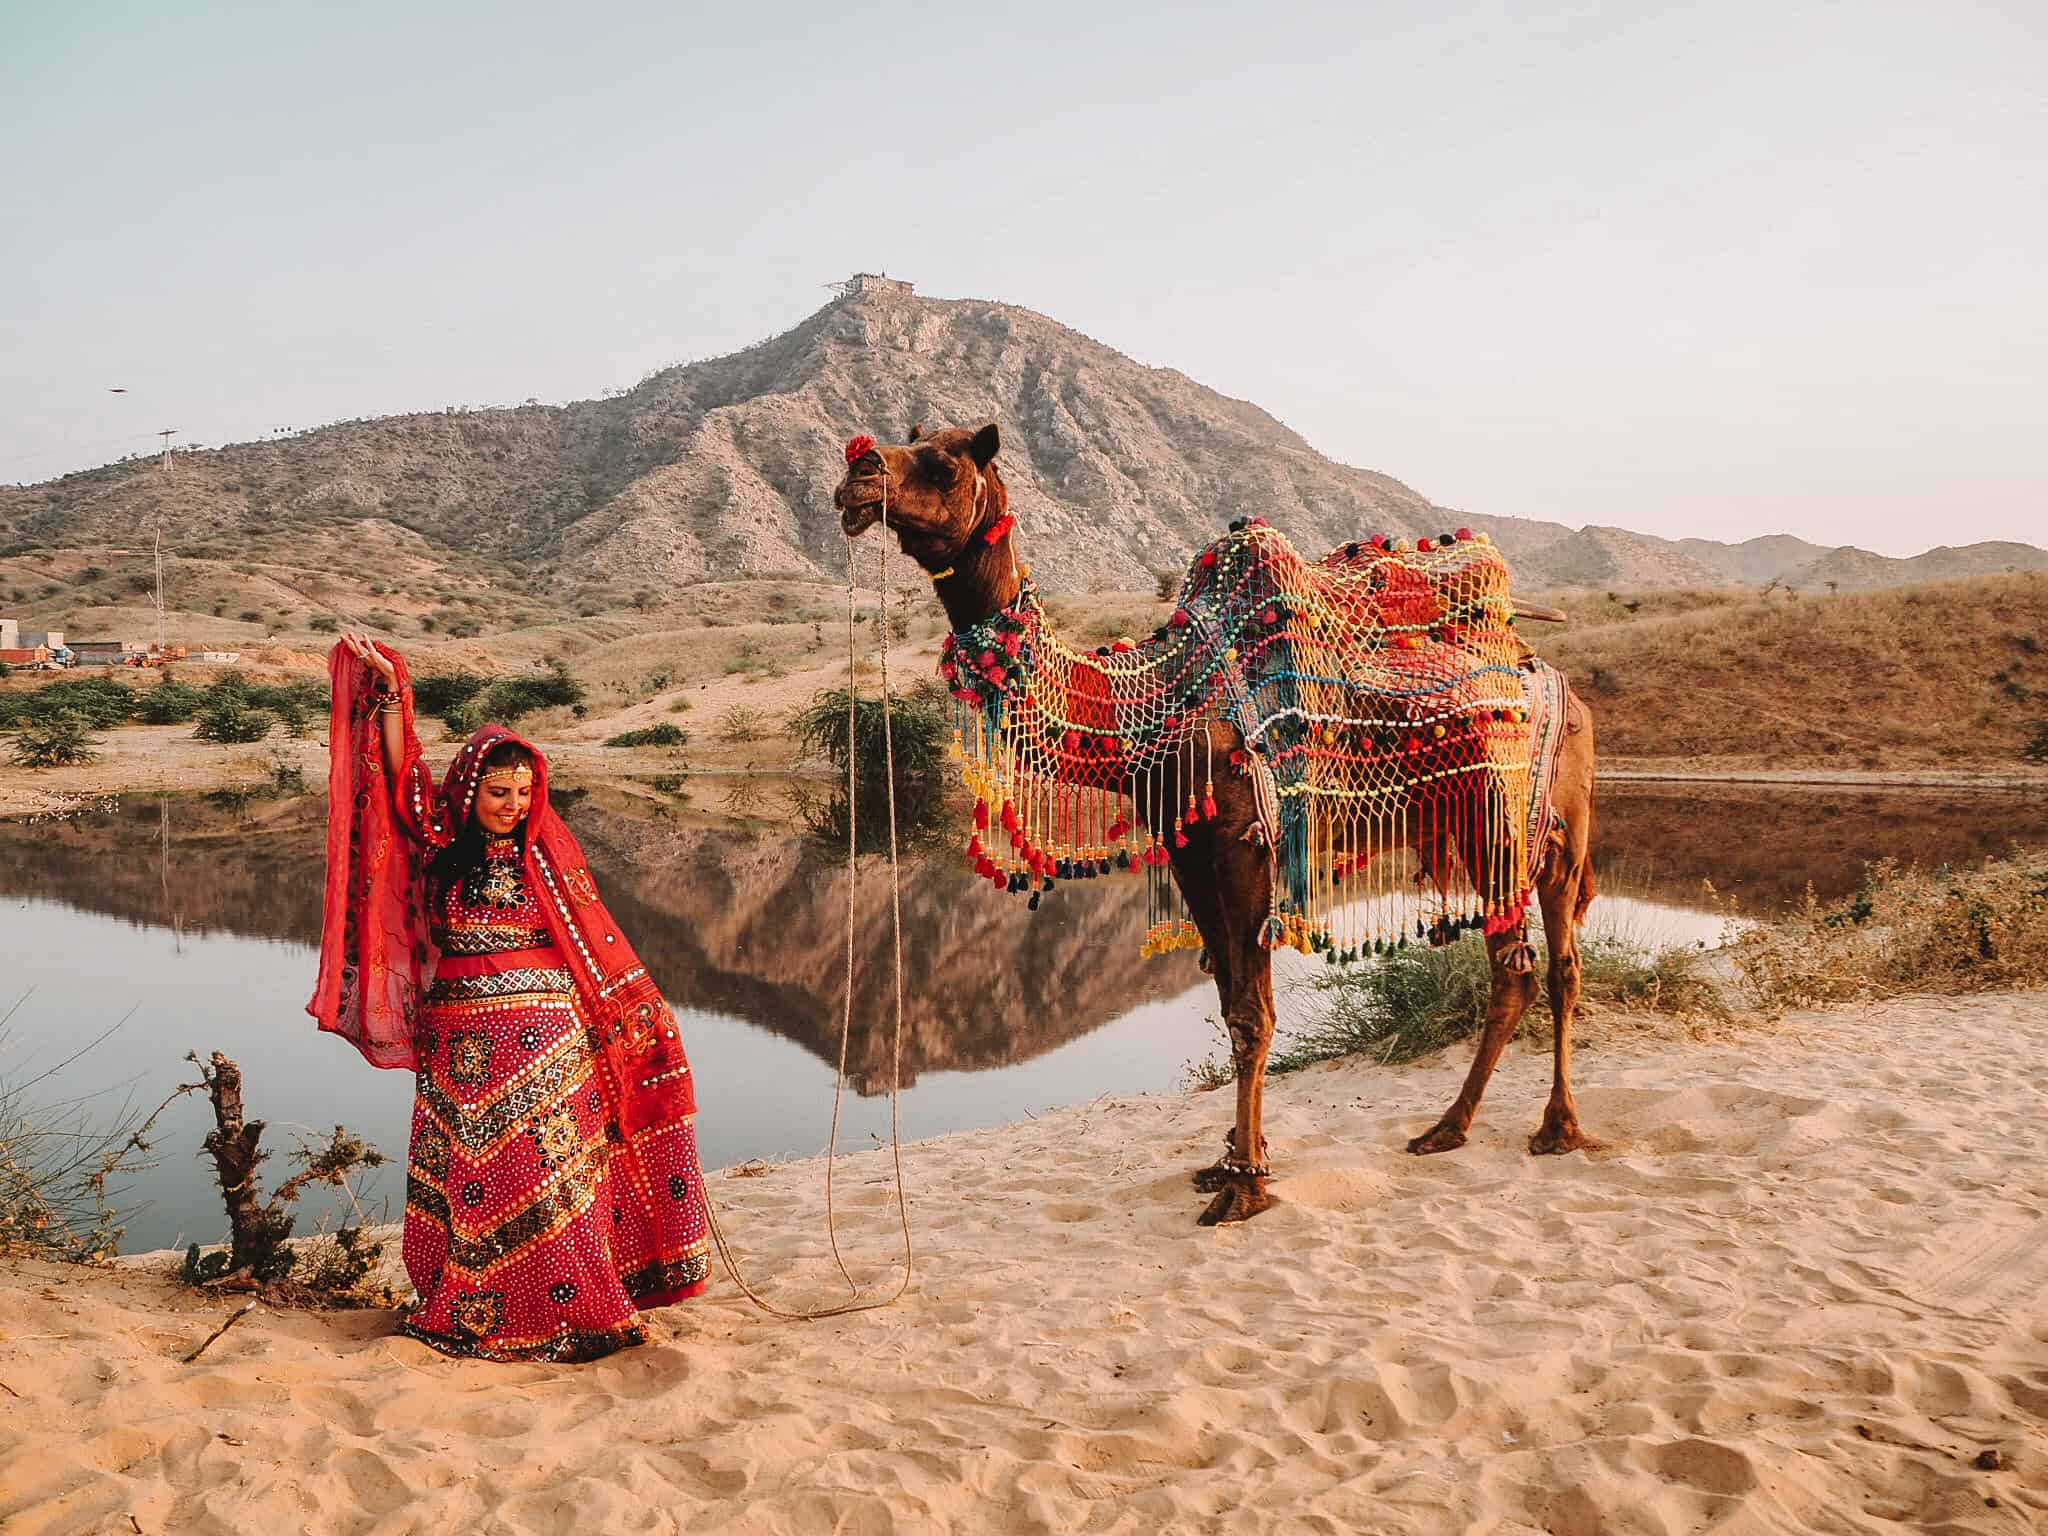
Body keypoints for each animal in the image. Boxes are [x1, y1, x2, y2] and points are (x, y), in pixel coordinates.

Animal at [831, 421, 1597, 1228]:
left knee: (1539, 963)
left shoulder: (1246, 844)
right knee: (1536, 962)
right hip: (1507, 827)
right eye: (907, 440)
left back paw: (1534, 1128)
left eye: (945, 465)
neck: (1148, 704)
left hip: (1519, 821)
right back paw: (1466, 1126)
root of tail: (1555, 680)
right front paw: (1229, 1161)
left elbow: (1253, 1016)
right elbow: (1230, 1001)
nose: (858, 471)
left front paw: (1246, 1187)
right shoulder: (1190, 852)